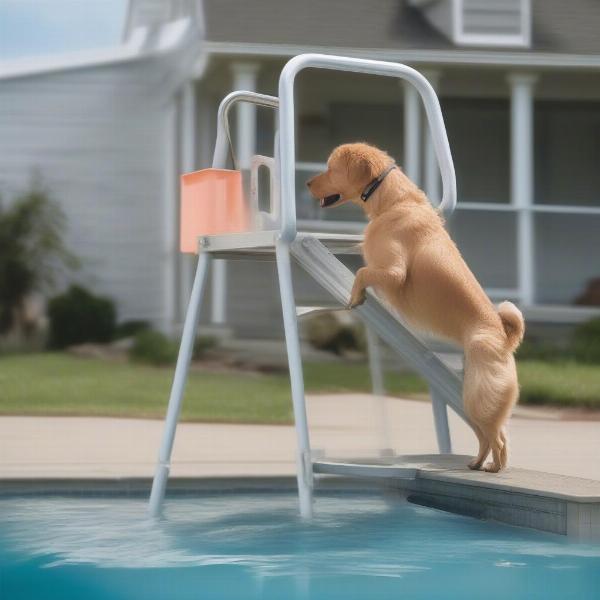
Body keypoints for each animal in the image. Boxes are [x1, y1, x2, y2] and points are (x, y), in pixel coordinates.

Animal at [308, 143, 524, 472]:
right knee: (492, 436)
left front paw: (356, 296)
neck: (393, 201)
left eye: (331, 168)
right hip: (472, 397)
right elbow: (364, 271)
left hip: (477, 397)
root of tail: (503, 336)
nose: (307, 183)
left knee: (498, 439)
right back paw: (476, 463)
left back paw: (493, 468)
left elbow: (363, 272)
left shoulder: (394, 271)